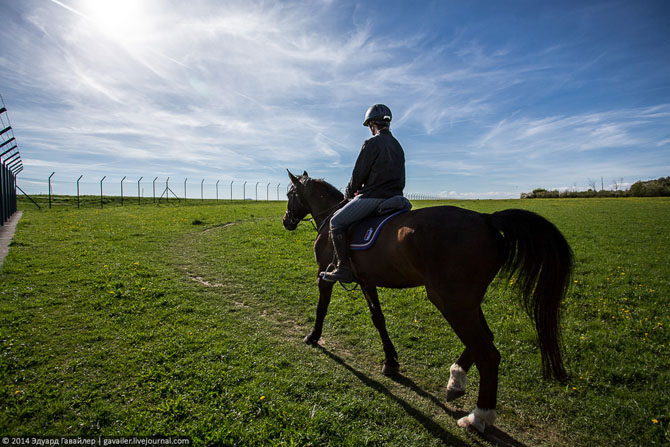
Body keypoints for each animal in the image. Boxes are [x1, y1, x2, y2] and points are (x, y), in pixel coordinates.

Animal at [280, 170, 576, 432]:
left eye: (290, 193)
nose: (286, 220)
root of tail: (486, 219)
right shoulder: (367, 281)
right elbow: (378, 319)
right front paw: (391, 361)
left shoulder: (324, 275)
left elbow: (322, 308)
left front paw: (313, 336)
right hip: (468, 302)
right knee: (485, 340)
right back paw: (456, 381)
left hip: (451, 302)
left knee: (488, 354)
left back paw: (478, 417)